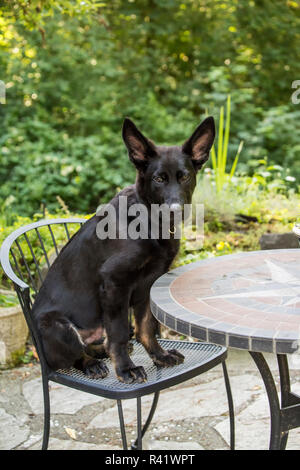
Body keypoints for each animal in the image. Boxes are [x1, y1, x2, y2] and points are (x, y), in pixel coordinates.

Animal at [32, 115, 216, 384]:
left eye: (184, 177)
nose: (175, 211)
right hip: (56, 326)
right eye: (158, 179)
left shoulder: (149, 284)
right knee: (74, 355)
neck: (149, 221)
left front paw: (159, 356)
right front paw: (126, 369)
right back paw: (92, 364)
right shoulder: (115, 283)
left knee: (97, 344)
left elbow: (146, 327)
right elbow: (118, 334)